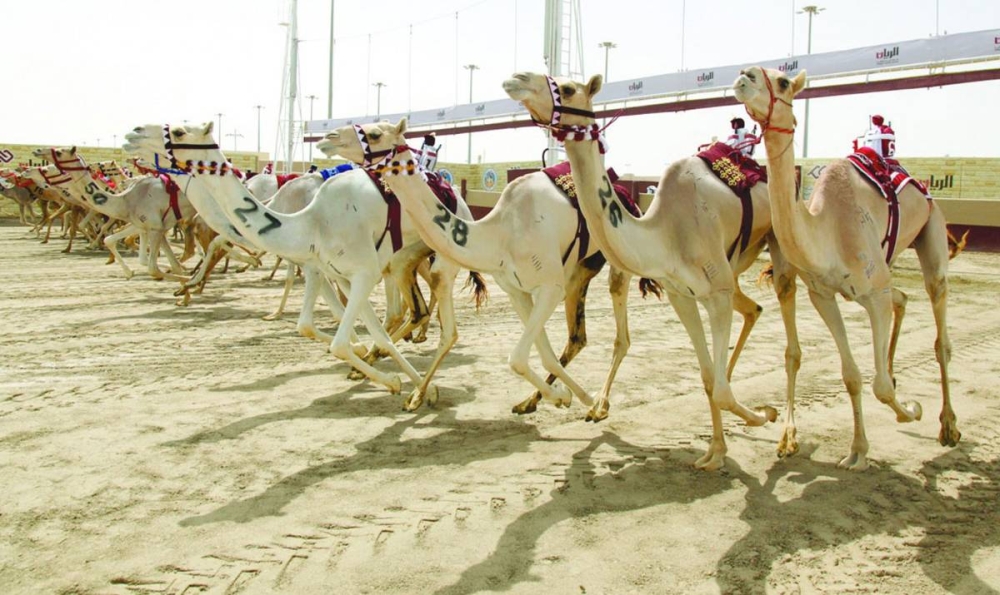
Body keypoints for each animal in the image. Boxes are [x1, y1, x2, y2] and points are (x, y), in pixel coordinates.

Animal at [124, 121, 474, 410]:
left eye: (180, 131)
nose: (133, 133)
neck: (308, 220)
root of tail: (458, 198)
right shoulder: (326, 269)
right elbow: (317, 326)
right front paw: (401, 378)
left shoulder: (363, 272)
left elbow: (340, 341)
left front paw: (397, 382)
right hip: (401, 262)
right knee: (411, 311)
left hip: (434, 261)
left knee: (441, 324)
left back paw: (416, 384)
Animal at [318, 119, 636, 419]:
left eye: (374, 134)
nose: (328, 137)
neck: (499, 233)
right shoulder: (517, 290)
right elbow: (539, 354)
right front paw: (562, 397)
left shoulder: (549, 286)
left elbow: (519, 357)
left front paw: (583, 399)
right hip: (575, 271)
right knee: (577, 338)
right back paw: (533, 401)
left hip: (612, 260)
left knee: (619, 332)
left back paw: (600, 404)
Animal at [503, 72, 790, 470]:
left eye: (571, 87)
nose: (518, 79)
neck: (665, 232)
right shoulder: (681, 293)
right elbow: (707, 378)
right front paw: (716, 449)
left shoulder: (714, 293)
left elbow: (717, 386)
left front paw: (762, 415)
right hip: (729, 269)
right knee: (753, 310)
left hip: (770, 249)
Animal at [733, 66, 958, 470]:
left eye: (784, 81)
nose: (746, 74)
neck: (828, 230)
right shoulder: (823, 294)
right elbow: (851, 375)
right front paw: (857, 450)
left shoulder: (873, 292)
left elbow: (878, 385)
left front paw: (911, 411)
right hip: (887, 264)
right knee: (902, 297)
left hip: (932, 228)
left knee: (939, 327)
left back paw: (947, 426)